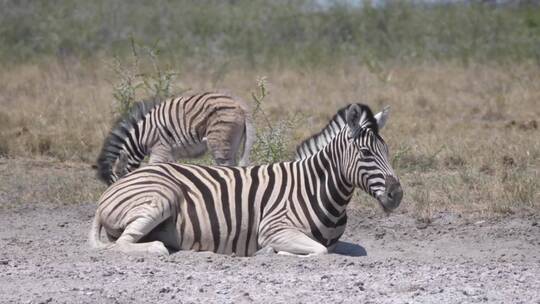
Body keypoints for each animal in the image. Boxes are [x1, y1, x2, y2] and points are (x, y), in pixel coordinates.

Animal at [88, 103, 400, 255]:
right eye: (365, 152)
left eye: (387, 150)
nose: (397, 194)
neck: (317, 188)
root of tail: (110, 192)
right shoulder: (274, 228)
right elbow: (319, 251)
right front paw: (273, 253)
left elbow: (332, 248)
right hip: (160, 198)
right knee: (122, 244)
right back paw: (157, 249)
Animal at [95, 91, 255, 184]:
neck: (141, 136)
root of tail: (240, 105)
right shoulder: (171, 152)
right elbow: (170, 169)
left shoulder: (160, 148)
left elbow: (154, 167)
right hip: (233, 143)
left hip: (218, 143)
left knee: (227, 167)